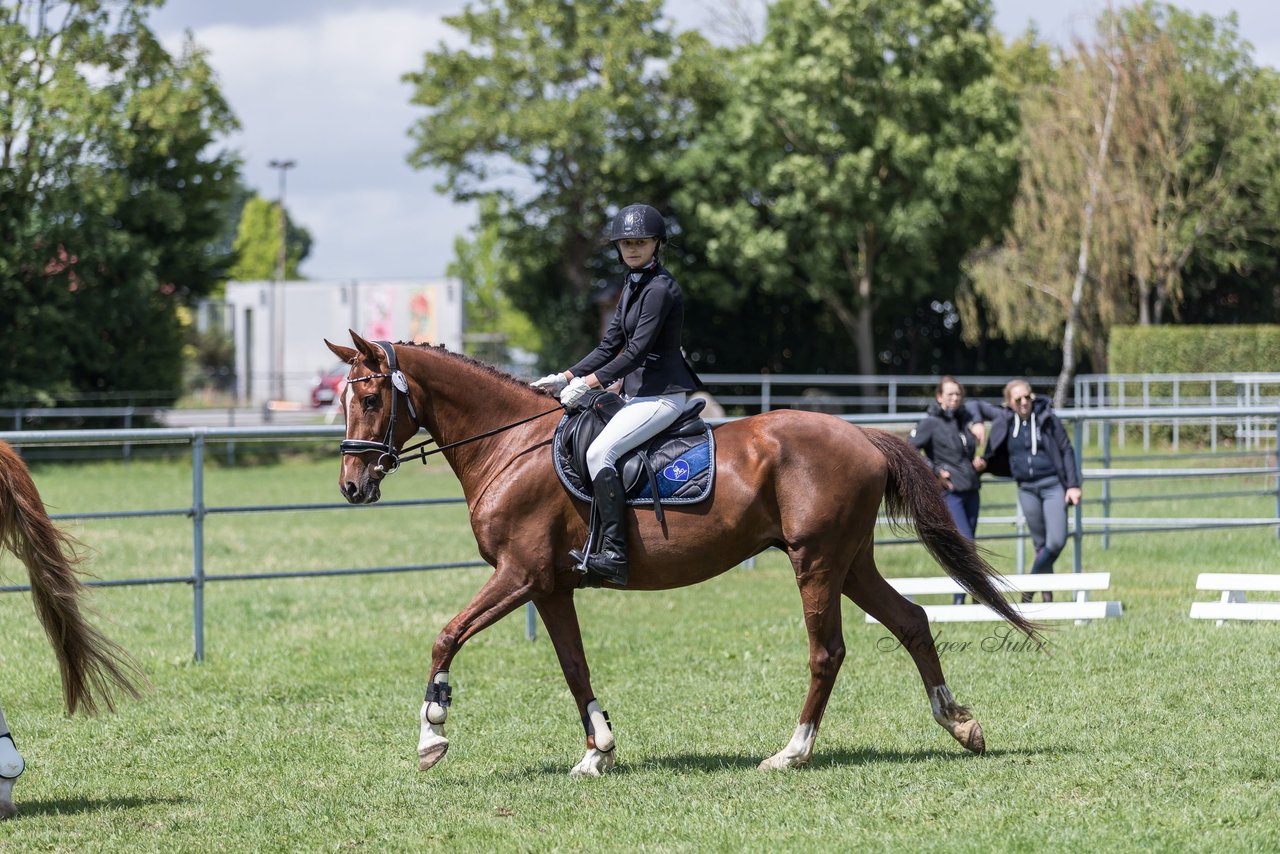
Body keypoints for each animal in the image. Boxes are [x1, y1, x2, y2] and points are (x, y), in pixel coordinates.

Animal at [325, 330, 1034, 778]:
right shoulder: (549, 587)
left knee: (827, 652)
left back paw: (791, 752)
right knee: (912, 620)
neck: (510, 445)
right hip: (851, 562)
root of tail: (862, 436)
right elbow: (574, 666)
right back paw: (960, 724)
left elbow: (446, 635)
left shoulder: (518, 575)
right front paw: (598, 751)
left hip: (816, 562)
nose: (353, 487)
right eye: (343, 397)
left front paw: (432, 733)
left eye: (370, 397)